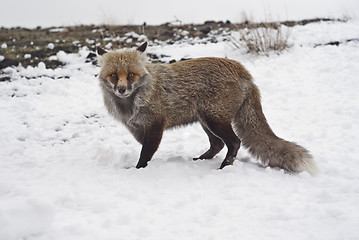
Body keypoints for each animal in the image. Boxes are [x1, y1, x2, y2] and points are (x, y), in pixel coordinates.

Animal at [97, 42, 320, 175]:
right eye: (114, 76)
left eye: (131, 75)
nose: (122, 89)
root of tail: (243, 70)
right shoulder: (138, 128)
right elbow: (145, 149)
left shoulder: (155, 125)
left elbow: (146, 153)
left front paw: (138, 170)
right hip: (206, 121)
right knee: (218, 144)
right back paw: (200, 160)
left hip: (214, 119)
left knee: (234, 142)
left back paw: (224, 167)